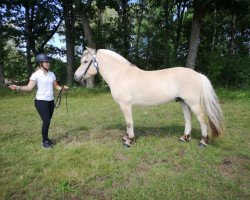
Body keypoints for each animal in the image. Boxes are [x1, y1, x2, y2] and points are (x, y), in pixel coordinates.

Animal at [73, 46, 224, 147]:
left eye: (85, 61)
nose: (76, 77)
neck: (121, 75)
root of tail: (198, 74)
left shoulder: (125, 105)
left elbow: (129, 122)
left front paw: (129, 141)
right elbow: (127, 122)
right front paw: (126, 138)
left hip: (193, 103)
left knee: (202, 120)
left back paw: (203, 141)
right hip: (183, 102)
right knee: (188, 119)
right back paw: (184, 138)